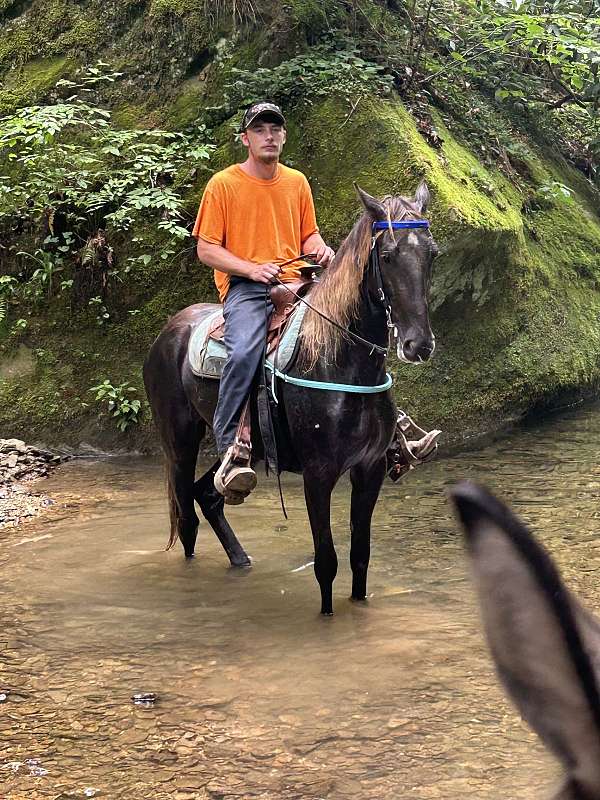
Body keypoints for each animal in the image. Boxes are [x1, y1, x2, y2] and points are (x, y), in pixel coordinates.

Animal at [144, 183, 438, 612]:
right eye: (386, 256)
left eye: (432, 254)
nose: (419, 344)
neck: (337, 359)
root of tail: (168, 331)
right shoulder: (318, 475)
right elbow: (327, 563)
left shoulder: (370, 469)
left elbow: (360, 557)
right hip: (179, 441)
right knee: (186, 519)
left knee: (209, 494)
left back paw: (242, 560)